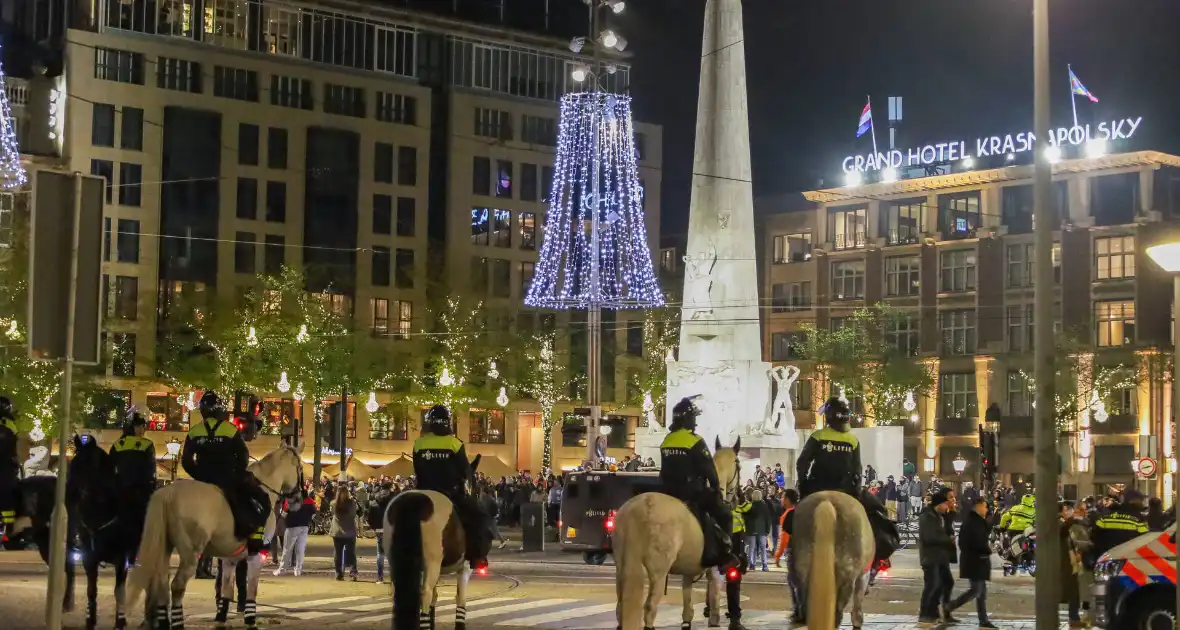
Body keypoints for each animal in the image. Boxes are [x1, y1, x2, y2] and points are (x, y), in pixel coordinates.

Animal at [125, 443, 304, 630]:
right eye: (300, 468)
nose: (298, 499)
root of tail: (169, 491)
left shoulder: (230, 558)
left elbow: (226, 590)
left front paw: (221, 618)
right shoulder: (256, 555)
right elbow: (251, 590)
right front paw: (250, 620)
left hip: (164, 549)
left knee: (160, 584)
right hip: (191, 555)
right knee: (177, 586)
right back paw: (177, 622)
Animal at [384, 457, 481, 630]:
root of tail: (413, 501)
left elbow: (435, 600)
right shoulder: (465, 568)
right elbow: (460, 599)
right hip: (433, 563)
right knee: (425, 594)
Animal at [613, 436, 741, 630]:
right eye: (739, 465)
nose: (737, 497)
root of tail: (636, 511)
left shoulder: (689, 569)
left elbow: (687, 602)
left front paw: (687, 621)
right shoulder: (714, 570)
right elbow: (714, 597)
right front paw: (714, 619)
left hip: (622, 568)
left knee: (620, 609)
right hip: (658, 573)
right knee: (649, 608)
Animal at [792, 493, 877, 630]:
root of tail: (827, 501)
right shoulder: (864, 575)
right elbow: (858, 600)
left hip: (804, 571)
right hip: (847, 577)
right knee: (838, 612)